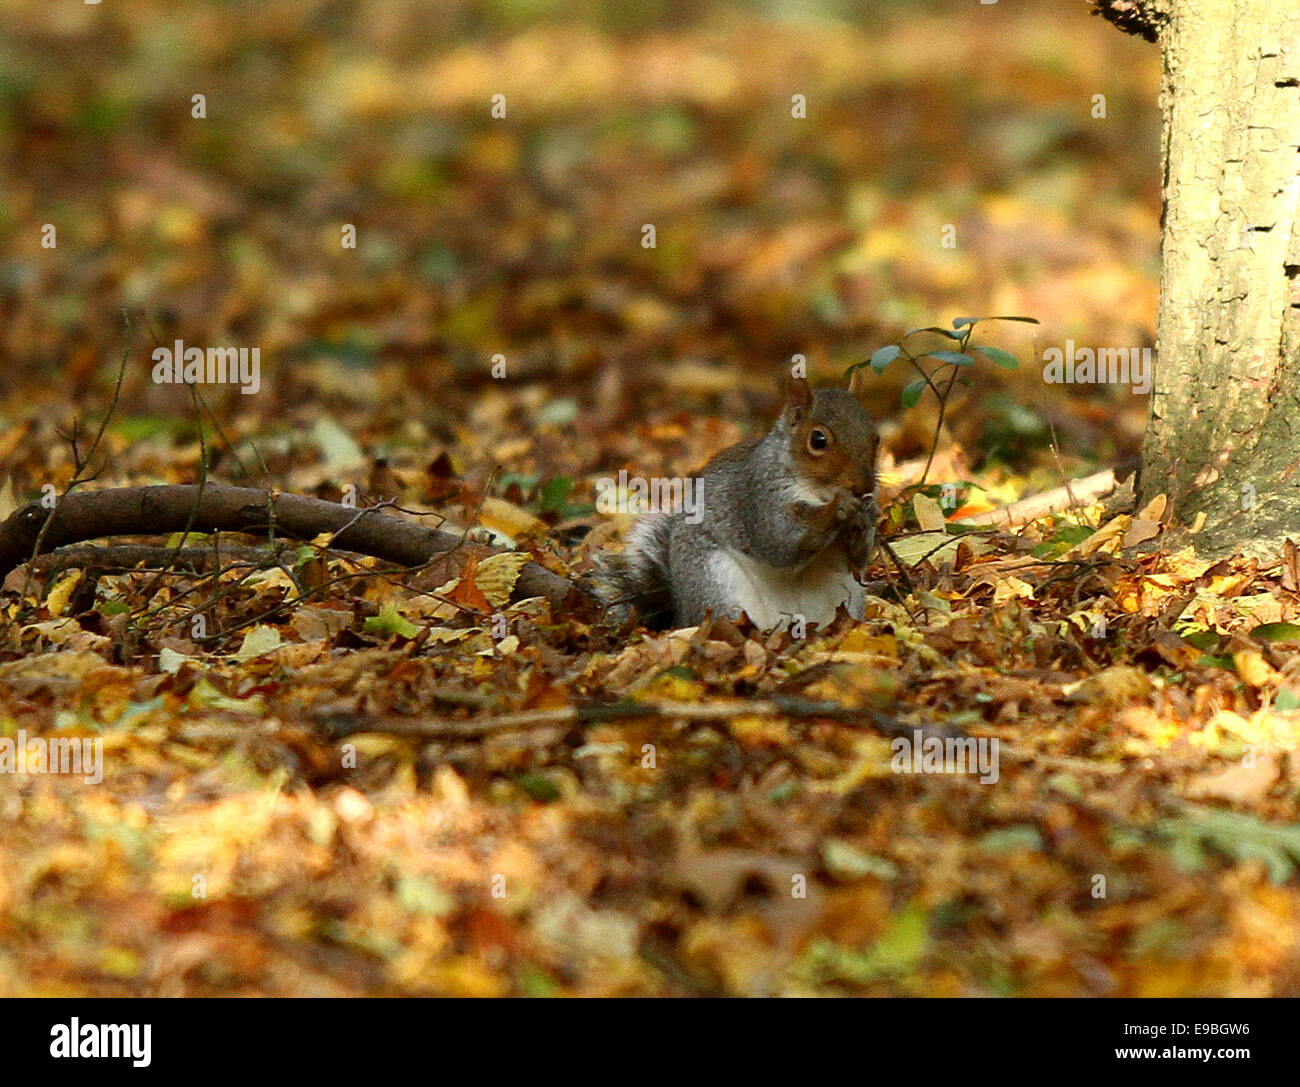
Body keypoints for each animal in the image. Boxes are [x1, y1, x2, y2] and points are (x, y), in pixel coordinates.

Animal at [595, 375, 879, 630]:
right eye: (818, 440)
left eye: (875, 438)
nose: (864, 487)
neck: (817, 492)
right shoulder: (757, 497)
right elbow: (781, 540)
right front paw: (838, 507)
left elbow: (858, 558)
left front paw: (867, 515)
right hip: (714, 583)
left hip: (848, 594)